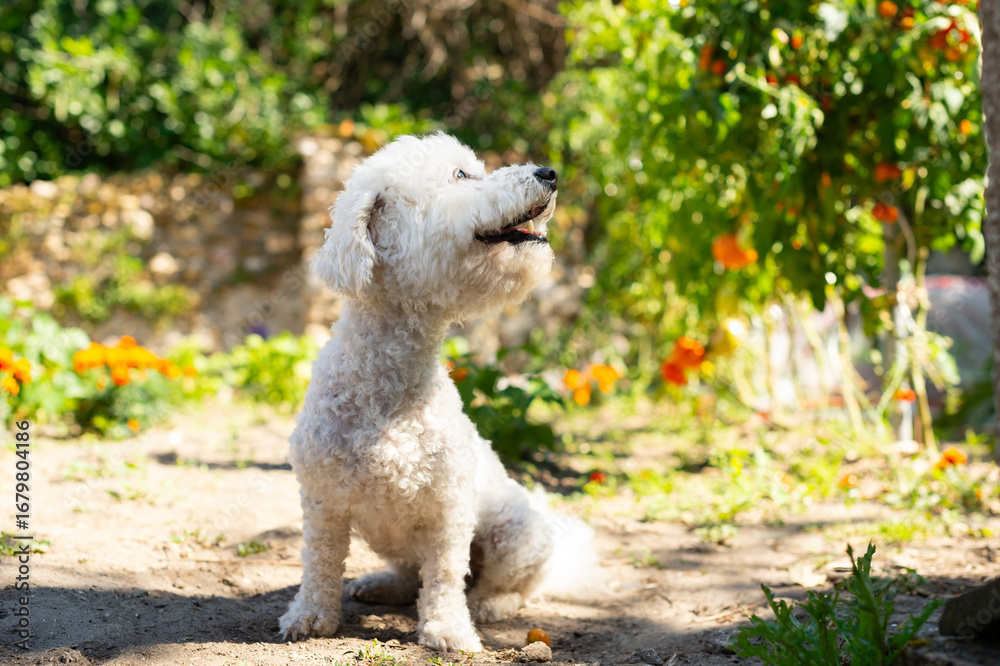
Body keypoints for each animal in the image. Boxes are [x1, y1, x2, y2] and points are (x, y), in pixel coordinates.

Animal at [280, 133, 573, 651]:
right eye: (461, 175)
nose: (549, 172)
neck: (388, 391)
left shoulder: (450, 510)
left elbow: (445, 576)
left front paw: (448, 629)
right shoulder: (322, 500)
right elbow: (319, 562)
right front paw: (310, 614)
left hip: (518, 532)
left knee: (508, 585)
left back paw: (490, 605)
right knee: (408, 573)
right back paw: (383, 584)